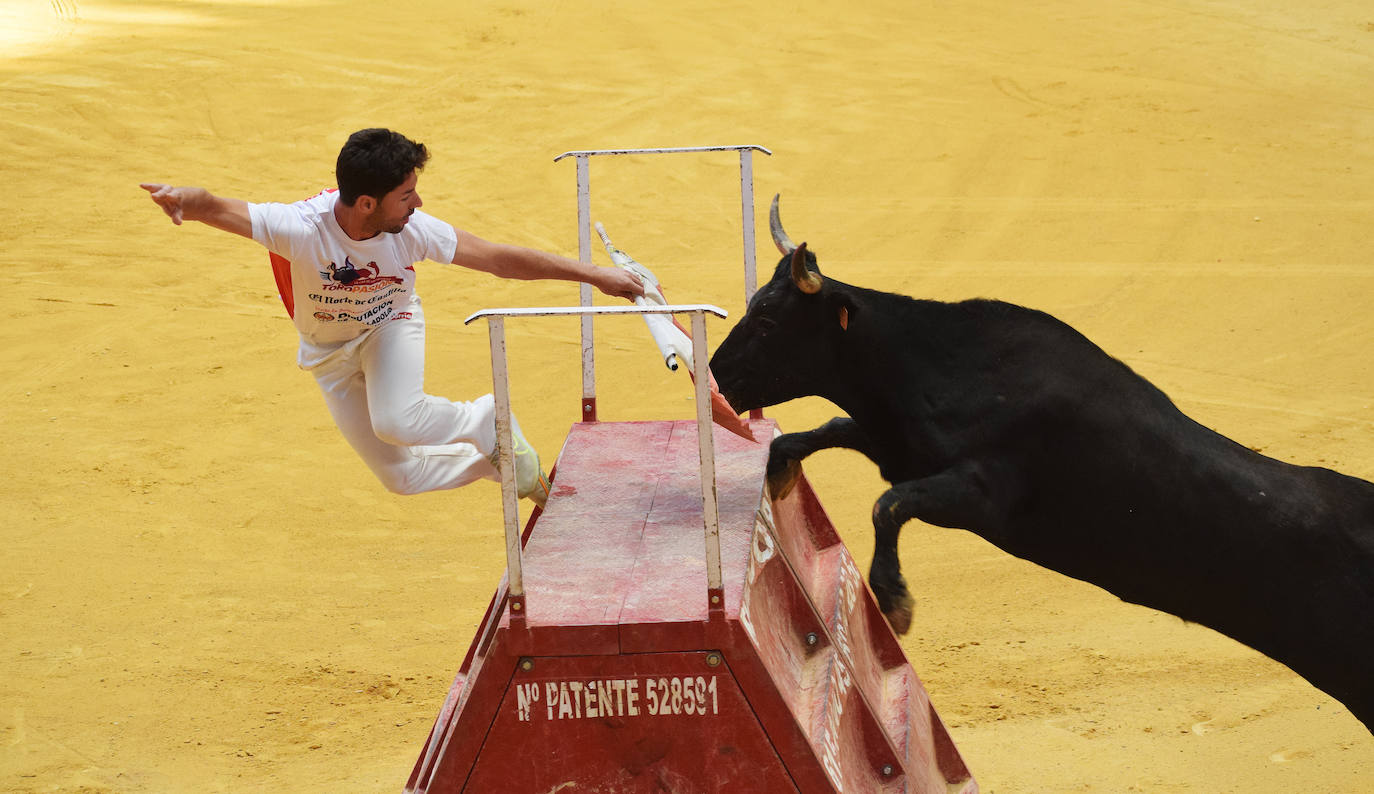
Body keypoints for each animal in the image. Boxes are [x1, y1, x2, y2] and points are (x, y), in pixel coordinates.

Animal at [708, 195, 1374, 725]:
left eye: (767, 319)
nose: (713, 374)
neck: (947, 360)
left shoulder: (980, 493)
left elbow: (888, 504)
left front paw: (894, 601)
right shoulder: (896, 443)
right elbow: (827, 432)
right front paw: (780, 474)